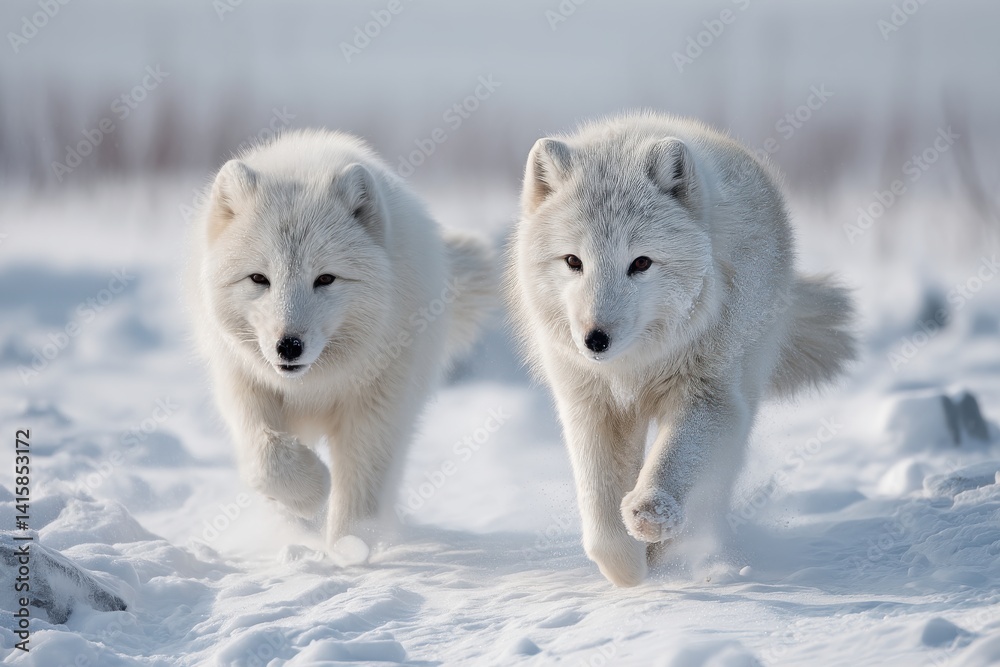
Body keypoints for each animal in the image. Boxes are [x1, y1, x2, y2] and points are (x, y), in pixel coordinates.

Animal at [187, 129, 493, 546]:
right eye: (259, 279)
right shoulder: (242, 382)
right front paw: (310, 493)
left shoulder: (375, 407)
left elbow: (359, 484)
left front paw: (350, 547)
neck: (312, 385)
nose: (289, 346)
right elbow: (265, 460)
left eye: (326, 279)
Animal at [505, 112, 856, 586]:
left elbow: (670, 463)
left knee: (713, 484)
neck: (634, 368)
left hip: (740, 398)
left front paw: (651, 516)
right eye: (573, 261)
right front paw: (630, 570)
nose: (595, 340)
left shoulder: (706, 396)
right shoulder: (592, 406)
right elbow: (601, 516)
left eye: (640, 263)